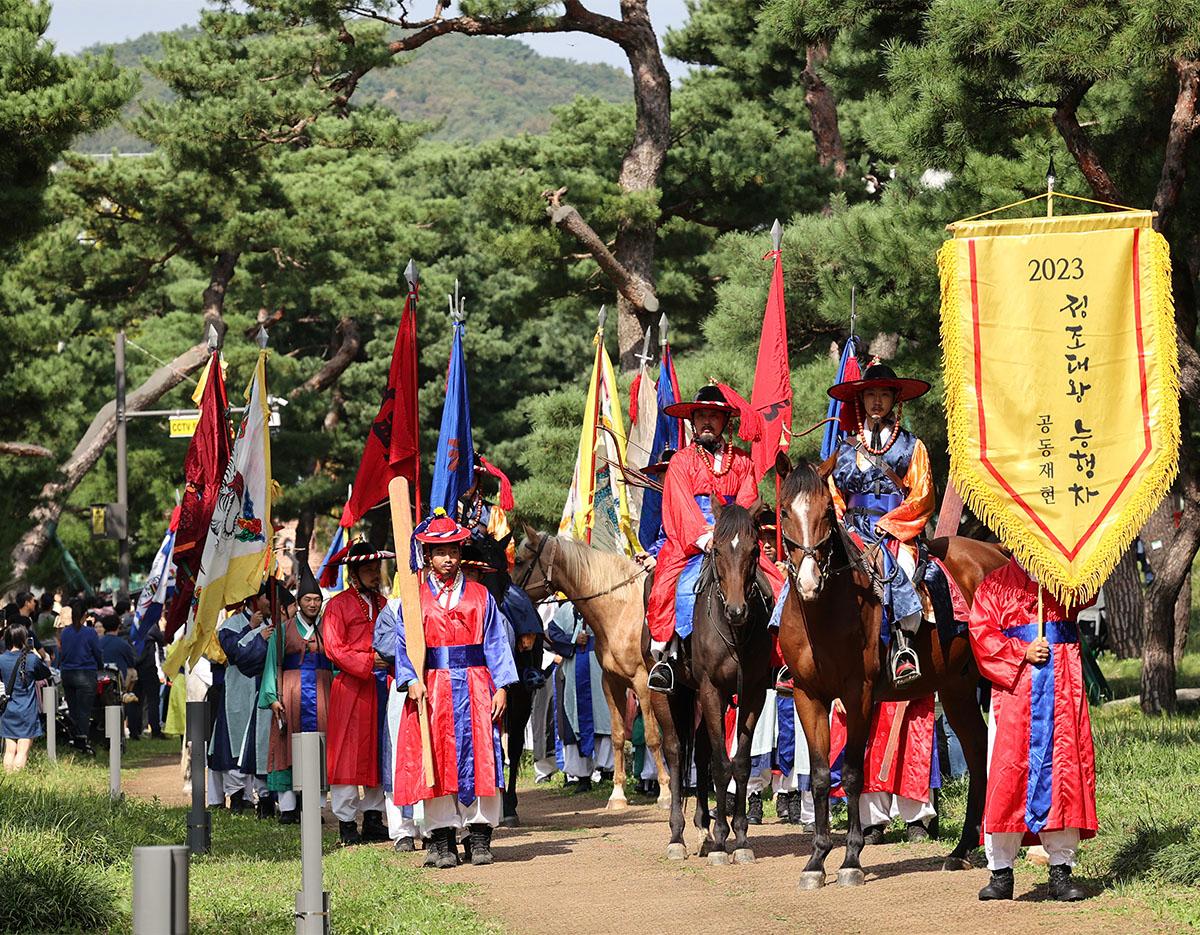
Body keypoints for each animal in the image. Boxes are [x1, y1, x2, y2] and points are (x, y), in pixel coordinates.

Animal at [518, 525, 676, 811]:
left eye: (520, 560)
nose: (505, 591)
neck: (620, 612)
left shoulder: (642, 683)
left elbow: (652, 737)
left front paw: (665, 793)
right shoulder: (611, 683)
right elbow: (617, 735)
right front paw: (617, 795)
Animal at [772, 456, 1008, 888]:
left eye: (826, 513)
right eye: (784, 512)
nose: (810, 581)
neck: (824, 613)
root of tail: (994, 552)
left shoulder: (859, 694)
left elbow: (851, 773)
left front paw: (851, 859)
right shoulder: (807, 695)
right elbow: (820, 776)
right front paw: (816, 860)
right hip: (956, 687)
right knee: (977, 748)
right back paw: (963, 849)